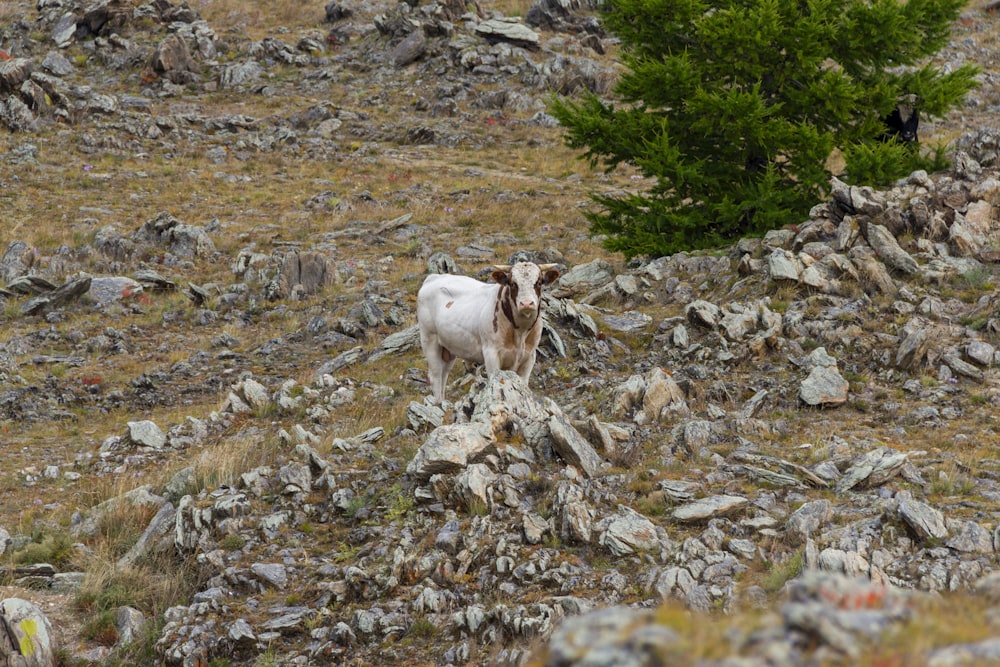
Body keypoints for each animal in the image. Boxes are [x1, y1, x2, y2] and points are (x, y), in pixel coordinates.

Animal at [412, 262, 560, 402]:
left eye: (539, 282)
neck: (520, 333)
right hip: (429, 340)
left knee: (444, 374)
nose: (527, 304)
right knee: (436, 375)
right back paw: (438, 403)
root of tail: (433, 277)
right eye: (513, 283)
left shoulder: (529, 357)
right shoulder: (491, 353)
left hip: (448, 348)